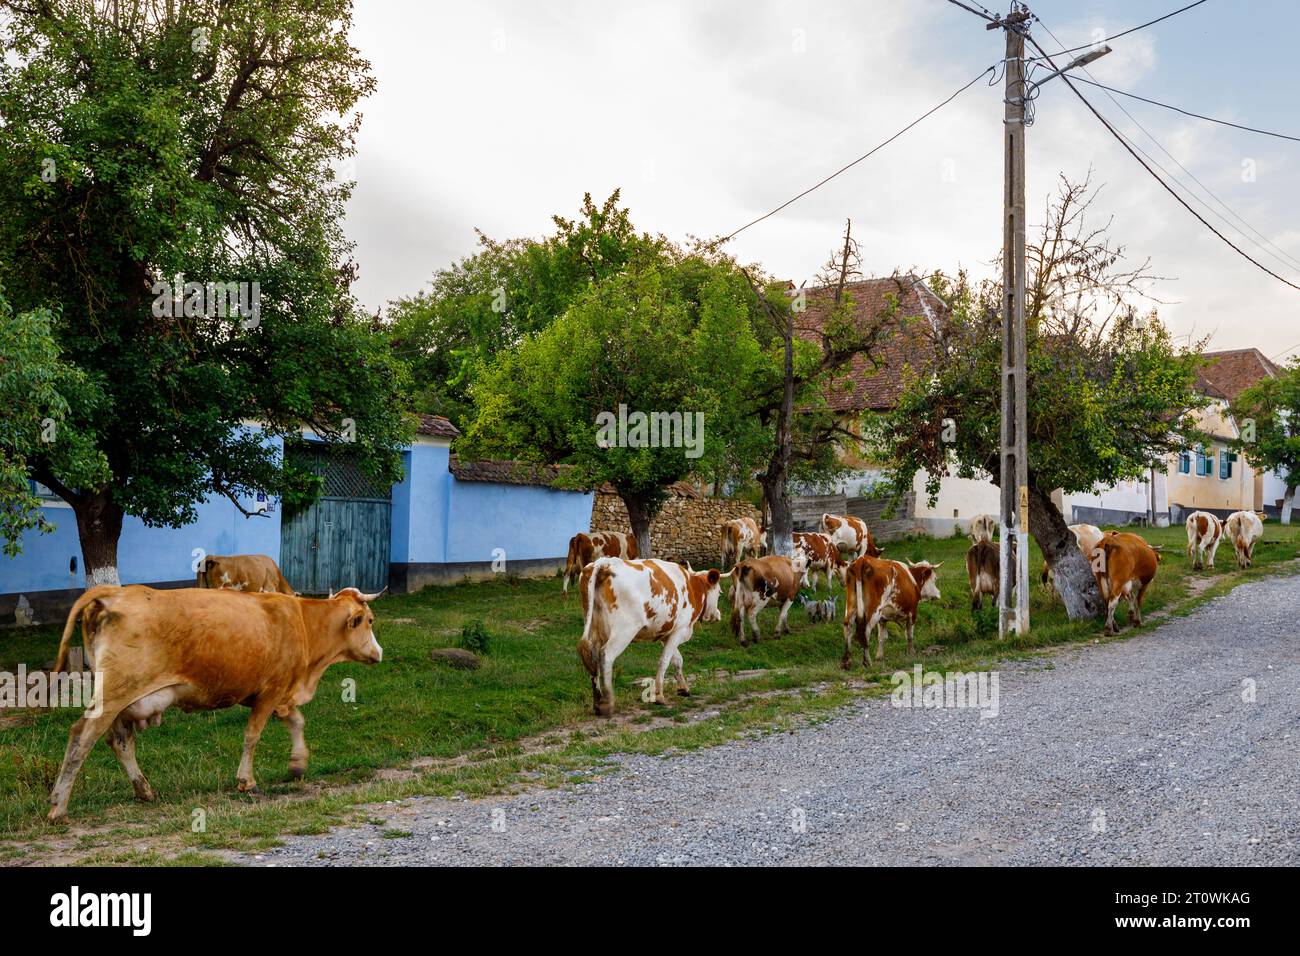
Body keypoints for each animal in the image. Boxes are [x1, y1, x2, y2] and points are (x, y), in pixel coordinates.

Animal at [47, 582, 390, 822]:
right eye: (370, 620)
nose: (379, 652)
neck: (303, 622)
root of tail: (114, 593)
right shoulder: (271, 691)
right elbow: (252, 735)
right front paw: (246, 781)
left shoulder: (280, 694)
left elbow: (296, 722)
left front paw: (297, 763)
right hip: (114, 695)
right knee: (81, 737)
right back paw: (58, 807)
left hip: (119, 702)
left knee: (120, 742)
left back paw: (143, 789)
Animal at [577, 554, 722, 717]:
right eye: (719, 592)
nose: (718, 614)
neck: (692, 587)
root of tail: (605, 562)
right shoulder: (679, 630)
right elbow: (664, 661)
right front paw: (659, 696)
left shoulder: (667, 634)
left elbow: (677, 660)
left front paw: (683, 688)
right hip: (624, 630)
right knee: (606, 655)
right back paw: (608, 703)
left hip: (594, 629)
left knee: (593, 658)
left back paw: (597, 703)